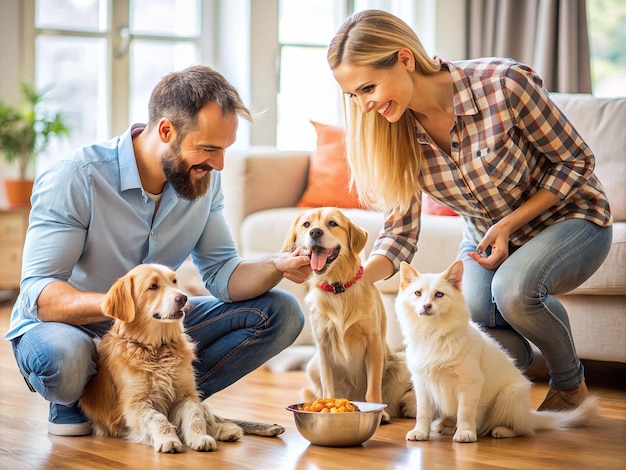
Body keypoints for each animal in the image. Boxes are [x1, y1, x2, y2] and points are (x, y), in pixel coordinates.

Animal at [78, 264, 282, 452]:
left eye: (174, 281)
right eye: (153, 286)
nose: (183, 298)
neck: (156, 347)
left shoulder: (186, 394)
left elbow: (196, 417)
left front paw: (199, 438)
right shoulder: (135, 404)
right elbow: (158, 418)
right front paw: (168, 440)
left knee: (211, 417)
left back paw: (228, 430)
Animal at [282, 207, 414, 422]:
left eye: (333, 223)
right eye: (306, 224)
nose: (315, 232)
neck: (338, 288)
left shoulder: (373, 342)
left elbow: (373, 389)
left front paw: (379, 413)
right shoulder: (324, 346)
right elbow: (328, 387)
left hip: (401, 363)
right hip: (312, 365)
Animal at [394, 258, 596, 442]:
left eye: (439, 295)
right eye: (417, 293)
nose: (426, 306)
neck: (434, 332)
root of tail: (529, 415)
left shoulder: (470, 382)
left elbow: (465, 412)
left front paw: (465, 433)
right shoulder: (422, 383)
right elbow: (423, 412)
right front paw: (421, 432)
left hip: (509, 395)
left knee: (522, 429)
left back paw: (501, 431)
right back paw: (444, 425)